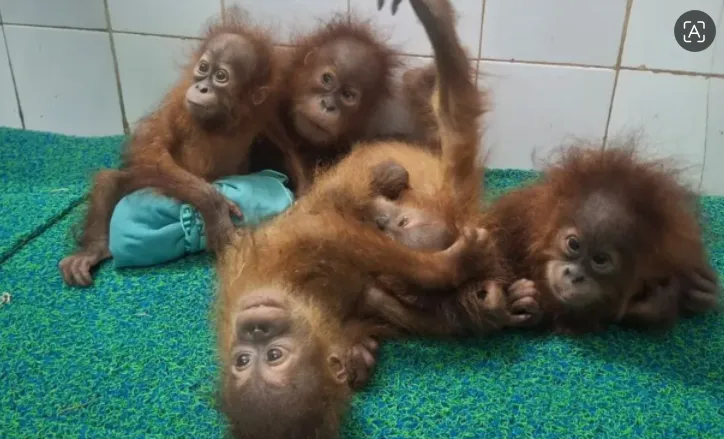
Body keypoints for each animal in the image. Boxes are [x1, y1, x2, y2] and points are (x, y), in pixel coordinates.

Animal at [59, 9, 283, 286]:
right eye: (203, 68)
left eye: (221, 76)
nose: (201, 87)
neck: (220, 121)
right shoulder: (177, 103)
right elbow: (150, 150)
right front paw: (216, 207)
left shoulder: (267, 112)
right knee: (110, 181)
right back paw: (93, 250)